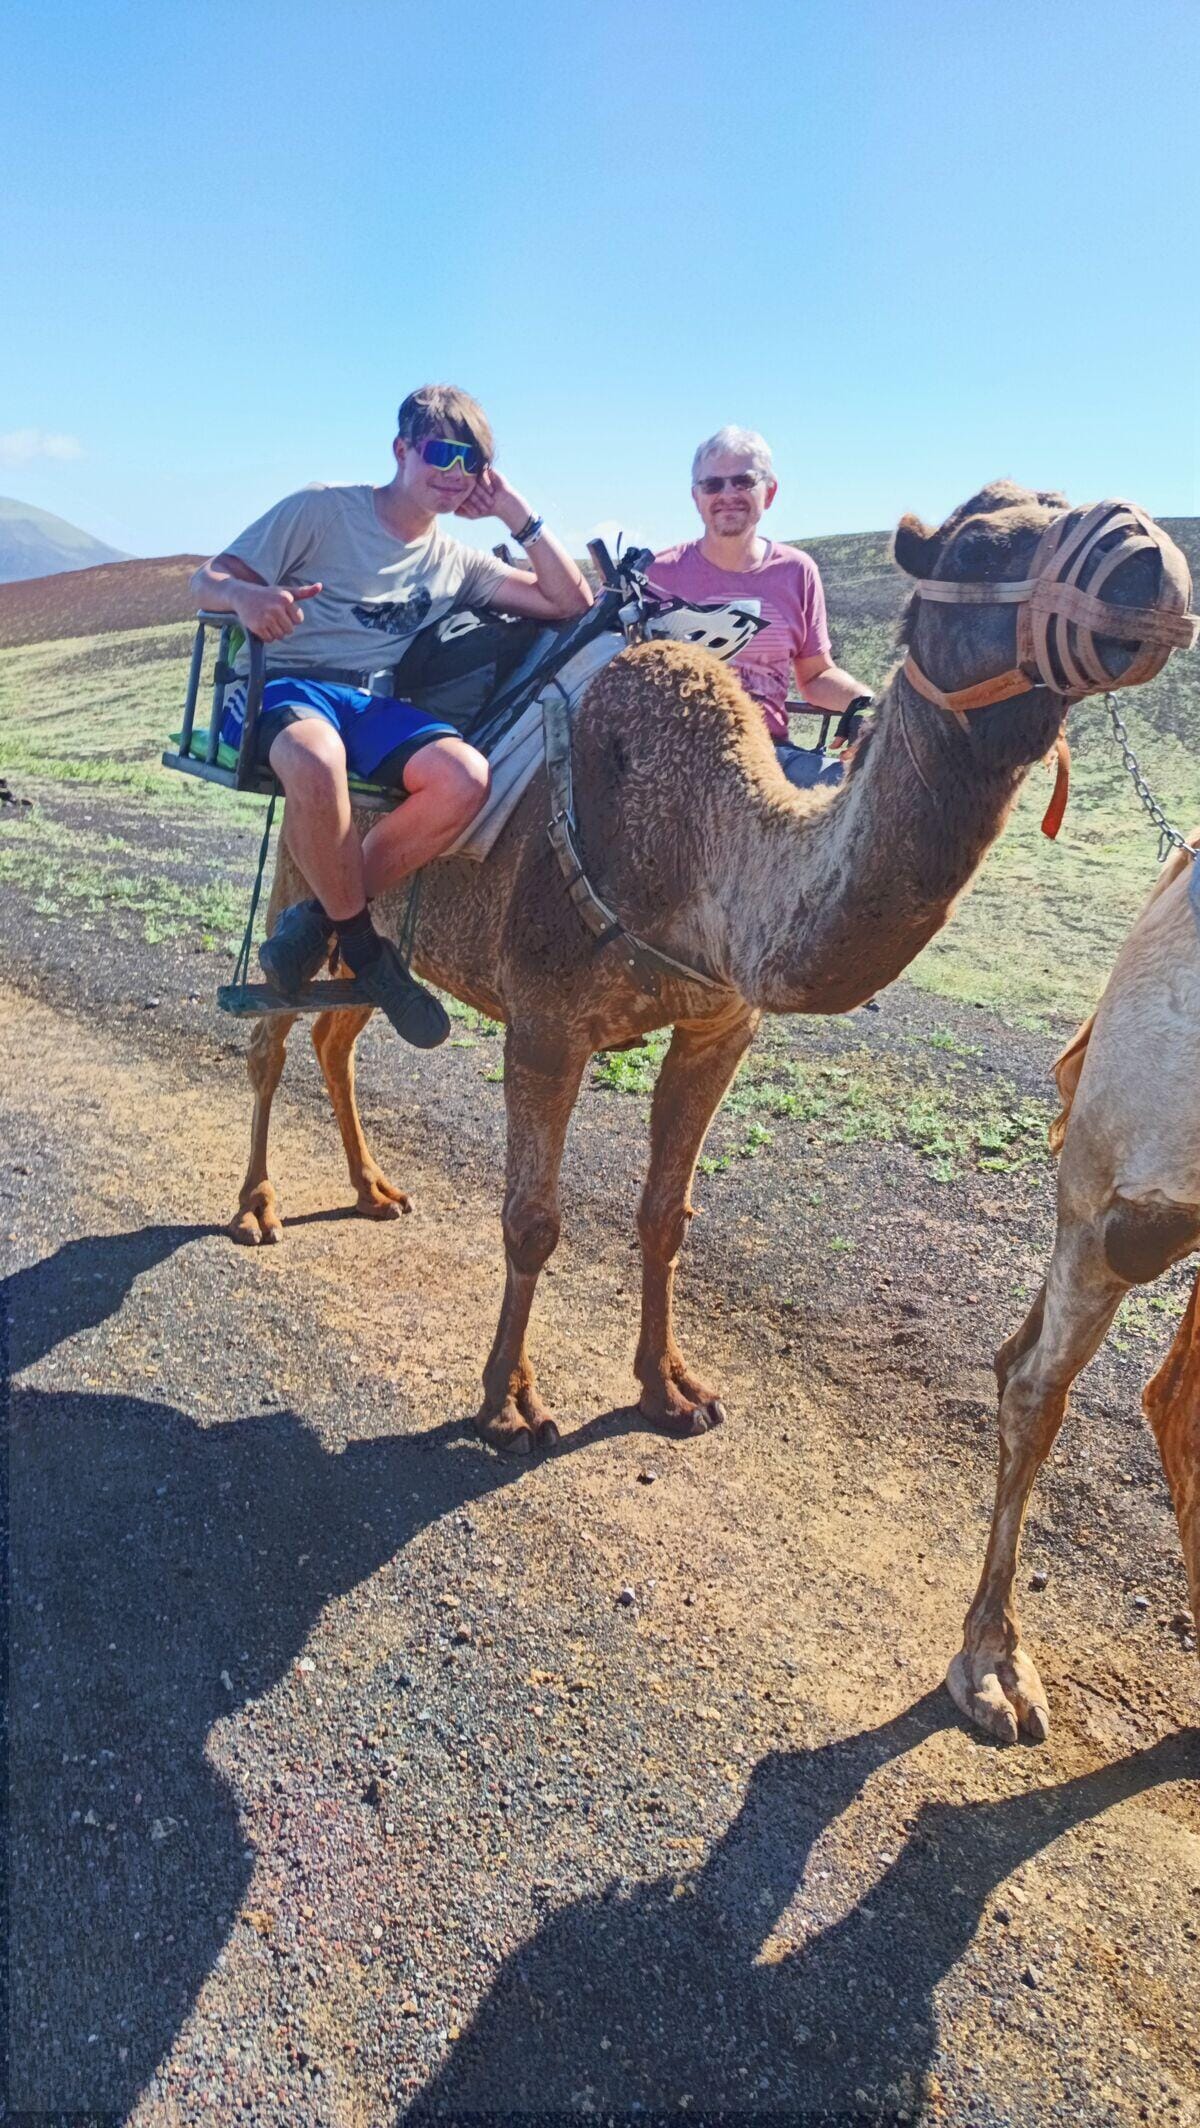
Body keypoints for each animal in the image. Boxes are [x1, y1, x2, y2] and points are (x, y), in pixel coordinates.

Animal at [229, 481, 1195, 1457]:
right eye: (978, 549)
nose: (1153, 566)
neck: (699, 848)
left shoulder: (718, 1026)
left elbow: (666, 1214)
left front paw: (670, 1389)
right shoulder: (545, 1023)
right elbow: (531, 1222)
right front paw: (507, 1405)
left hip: (392, 942)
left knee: (342, 1032)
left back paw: (373, 1190)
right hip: (307, 863)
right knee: (273, 1035)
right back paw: (256, 1208)